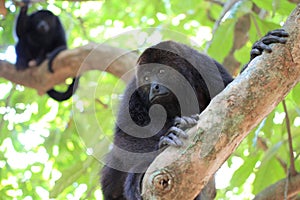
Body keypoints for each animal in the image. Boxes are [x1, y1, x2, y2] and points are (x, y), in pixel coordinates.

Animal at [100, 29, 288, 200]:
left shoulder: (204, 65)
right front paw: (164, 141)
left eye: (161, 72)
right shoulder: (133, 92)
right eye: (146, 78)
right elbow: (125, 138)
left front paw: (256, 51)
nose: (154, 87)